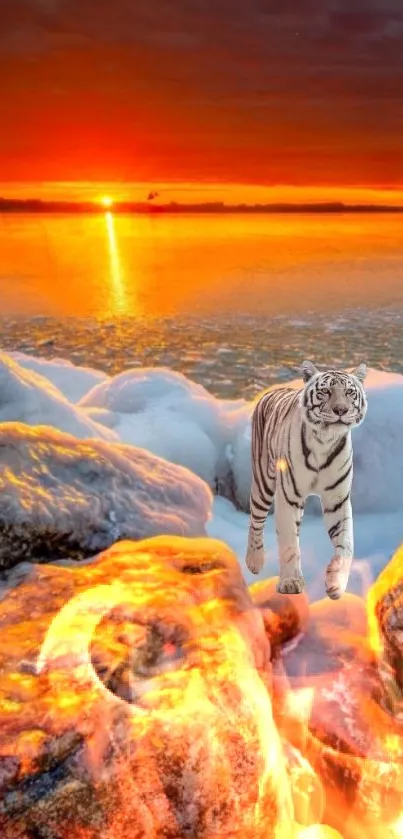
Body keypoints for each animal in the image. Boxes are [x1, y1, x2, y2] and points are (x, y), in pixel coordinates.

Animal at [246, 360, 370, 596]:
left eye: (349, 392)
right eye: (326, 392)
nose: (341, 410)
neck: (324, 441)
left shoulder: (337, 500)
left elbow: (346, 543)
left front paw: (336, 581)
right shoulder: (288, 496)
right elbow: (289, 542)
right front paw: (290, 582)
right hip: (263, 483)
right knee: (255, 520)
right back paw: (254, 561)